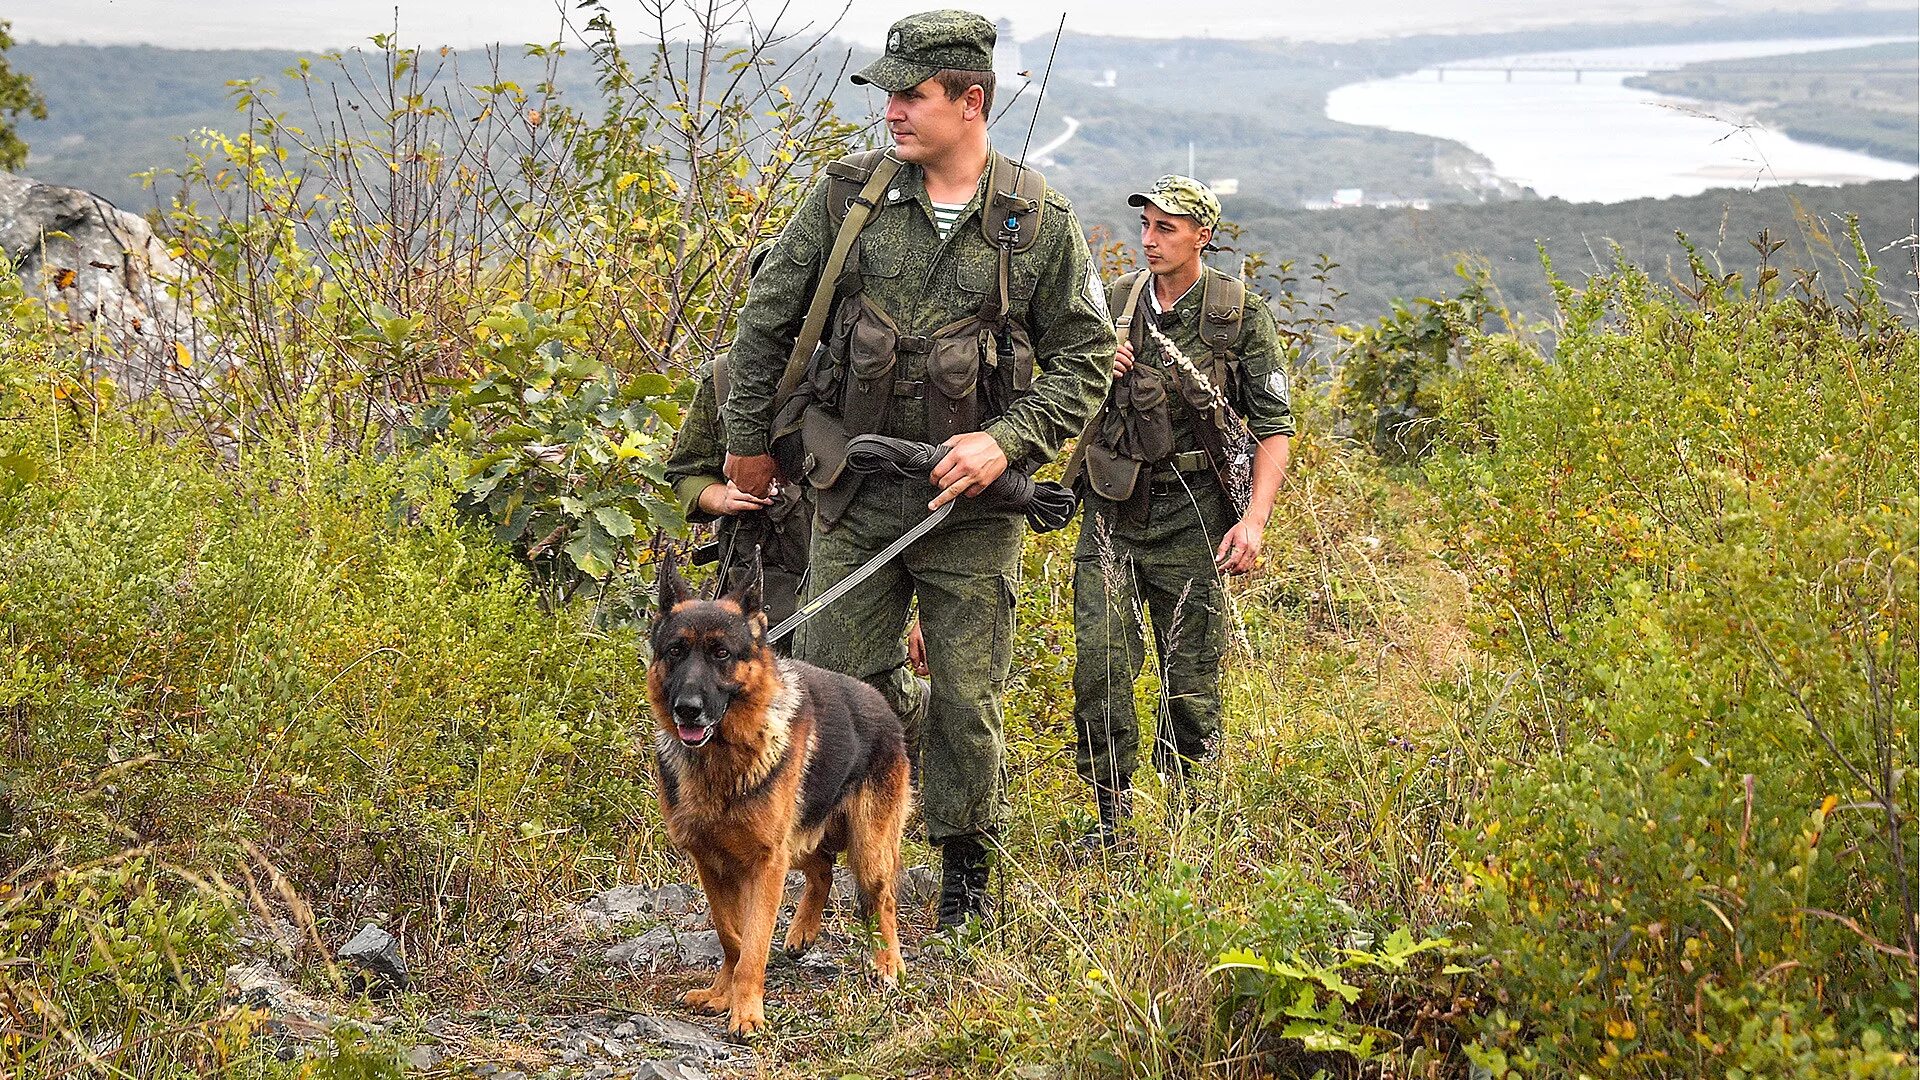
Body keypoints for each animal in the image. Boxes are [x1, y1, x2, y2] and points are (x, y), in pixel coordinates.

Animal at [648, 557, 910, 1030]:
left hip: (867, 850)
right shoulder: (713, 864)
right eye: (675, 651)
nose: (688, 710)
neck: (724, 759)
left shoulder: (766, 864)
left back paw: (888, 962)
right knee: (822, 869)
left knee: (883, 900)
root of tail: (882, 704)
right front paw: (722, 994)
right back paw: (803, 930)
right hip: (801, 839)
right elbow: (731, 935)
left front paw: (746, 1013)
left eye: (721, 653)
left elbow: (753, 944)